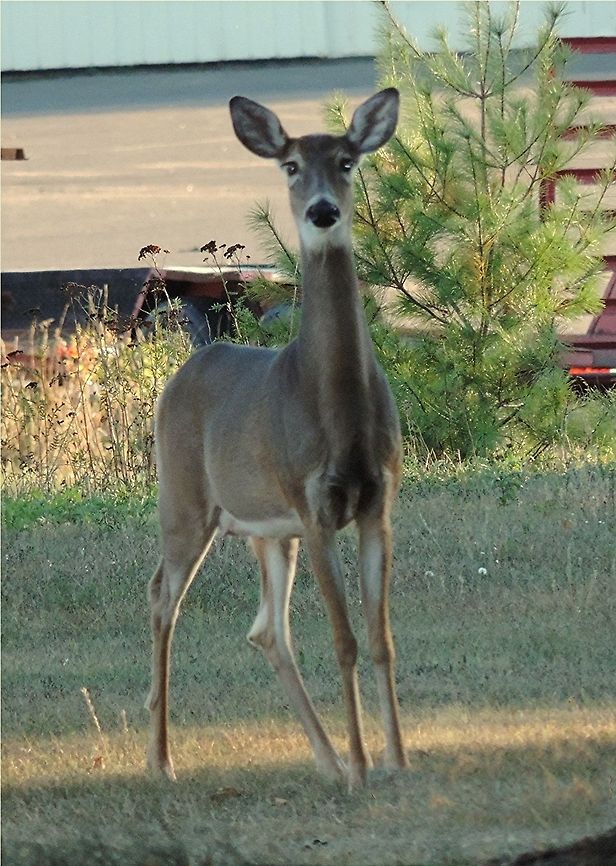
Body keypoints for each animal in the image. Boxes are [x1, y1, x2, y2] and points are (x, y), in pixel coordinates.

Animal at [145, 88, 407, 790]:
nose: (322, 211)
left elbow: (381, 638)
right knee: (162, 600)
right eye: (290, 165)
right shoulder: (313, 505)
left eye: (347, 160)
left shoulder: (378, 502)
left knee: (267, 630)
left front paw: (397, 759)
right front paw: (366, 766)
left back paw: (326, 761)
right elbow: (344, 640)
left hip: (266, 532)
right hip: (184, 501)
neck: (336, 409)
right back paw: (161, 759)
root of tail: (184, 372)